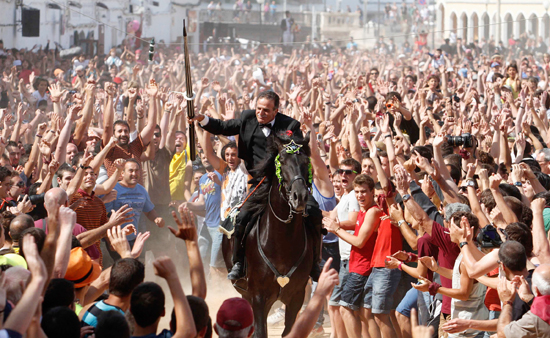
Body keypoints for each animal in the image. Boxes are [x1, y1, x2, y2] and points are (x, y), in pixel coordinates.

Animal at [220, 132, 314, 338]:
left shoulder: (296, 297)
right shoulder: (258, 297)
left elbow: (289, 331)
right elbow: (260, 331)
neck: (282, 241)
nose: (300, 197)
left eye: (306, 161)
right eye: (282, 161)